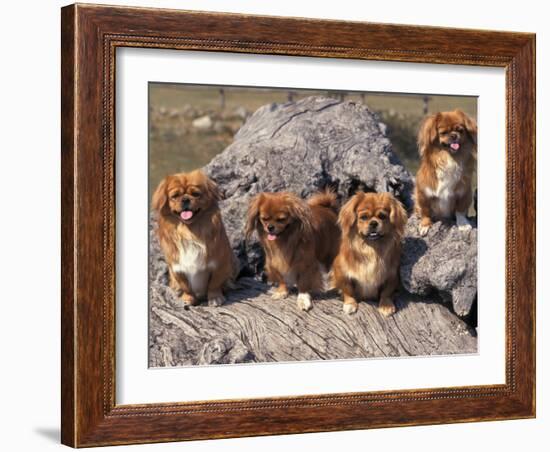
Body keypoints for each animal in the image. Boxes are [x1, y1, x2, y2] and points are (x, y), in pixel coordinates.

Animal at [152, 170, 236, 308]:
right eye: (175, 196)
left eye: (196, 194)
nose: (185, 199)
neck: (190, 232)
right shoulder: (177, 268)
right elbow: (186, 286)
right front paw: (188, 299)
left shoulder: (220, 264)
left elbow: (214, 283)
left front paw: (215, 298)